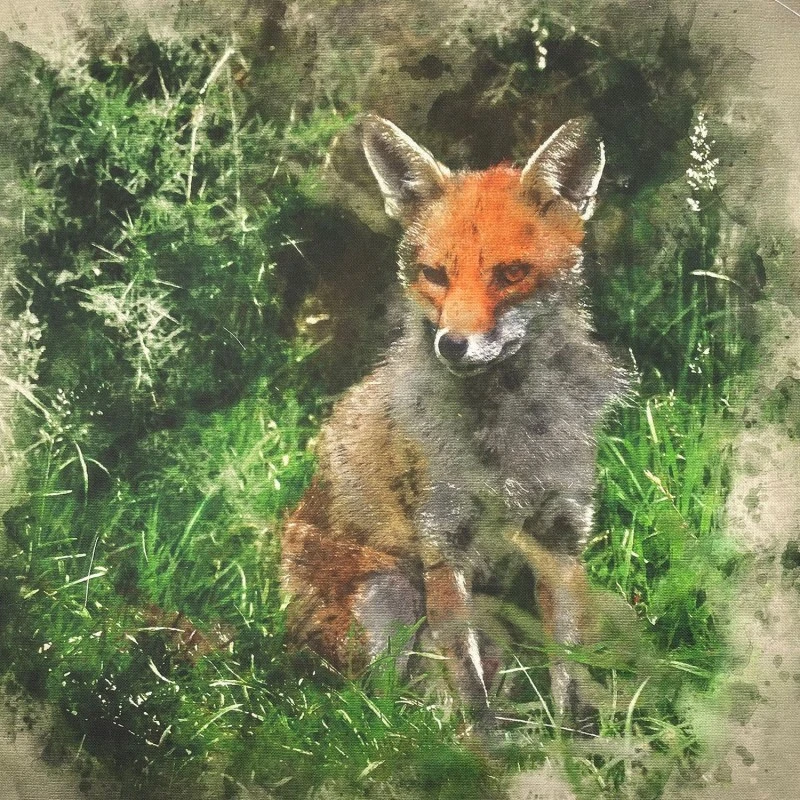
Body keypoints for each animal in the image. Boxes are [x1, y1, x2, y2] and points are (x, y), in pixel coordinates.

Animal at [281, 114, 627, 726]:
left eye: (510, 274)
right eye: (434, 275)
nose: (452, 345)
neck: (509, 433)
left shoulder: (560, 535)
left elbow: (567, 668)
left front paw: (575, 739)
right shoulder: (444, 544)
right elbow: (469, 687)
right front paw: (485, 746)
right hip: (388, 594)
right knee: (381, 709)